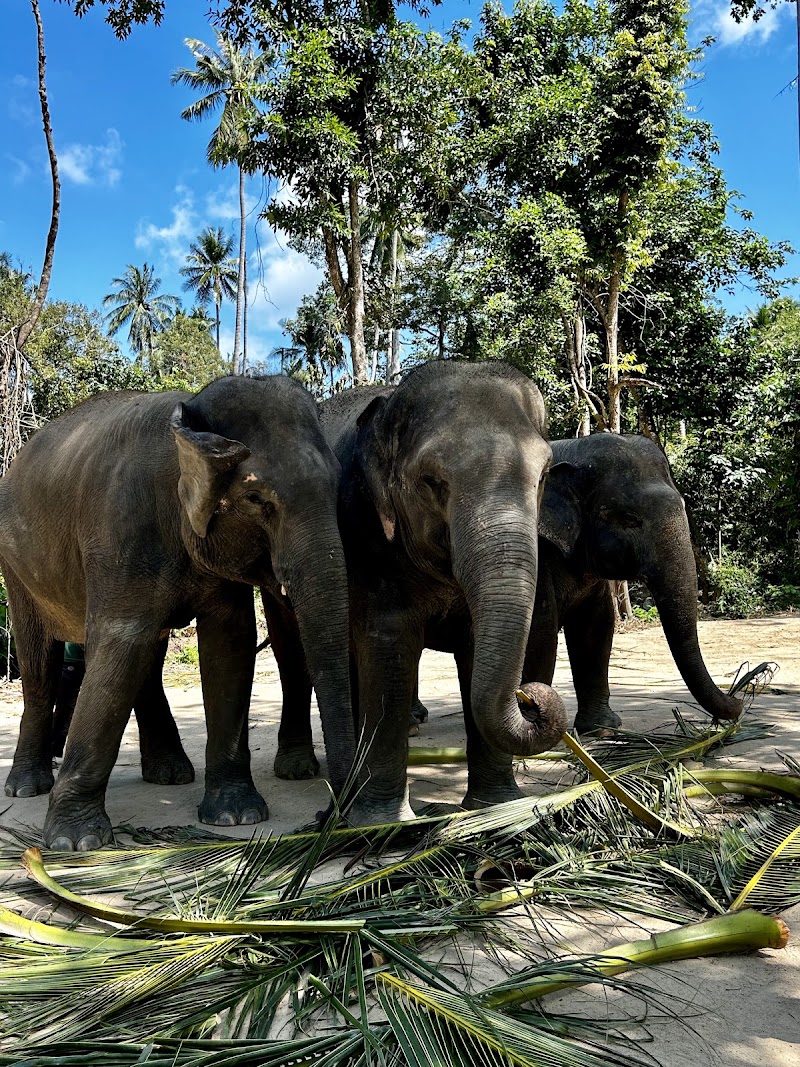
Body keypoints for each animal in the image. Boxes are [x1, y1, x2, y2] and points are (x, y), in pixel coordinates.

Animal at [0, 375, 354, 850]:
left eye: (336, 484)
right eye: (255, 497)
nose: (326, 817)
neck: (186, 421)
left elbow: (229, 645)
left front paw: (235, 815)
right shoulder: (119, 531)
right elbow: (119, 642)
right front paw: (75, 843)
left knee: (146, 658)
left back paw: (169, 774)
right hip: (17, 565)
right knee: (40, 662)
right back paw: (27, 787)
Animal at [270, 361, 568, 824]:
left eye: (543, 476)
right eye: (431, 481)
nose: (531, 697)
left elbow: (474, 647)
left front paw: (499, 808)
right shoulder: (366, 532)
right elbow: (389, 646)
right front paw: (384, 822)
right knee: (291, 653)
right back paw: (300, 769)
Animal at [412, 433, 743, 735]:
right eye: (629, 518)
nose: (738, 699)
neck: (572, 450)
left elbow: (596, 627)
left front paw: (602, 730)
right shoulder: (532, 551)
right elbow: (539, 628)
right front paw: (536, 729)